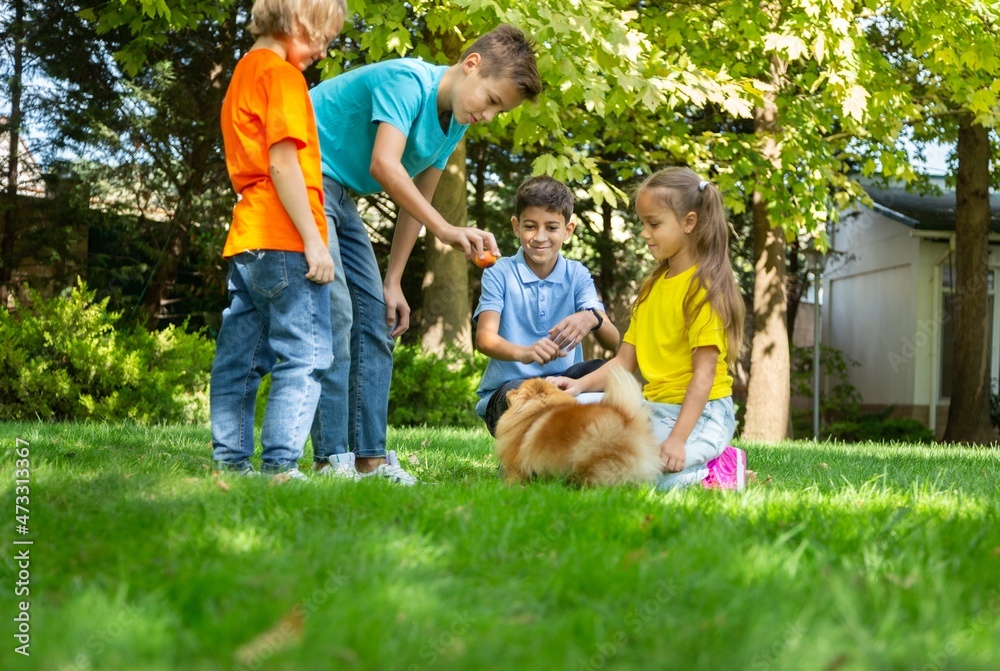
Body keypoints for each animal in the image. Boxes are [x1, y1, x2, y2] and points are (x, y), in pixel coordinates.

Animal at [494, 364, 664, 486]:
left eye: (516, 392)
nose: (509, 390)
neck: (537, 412)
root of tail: (627, 418)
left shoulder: (515, 464)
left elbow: (513, 478)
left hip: (589, 453)